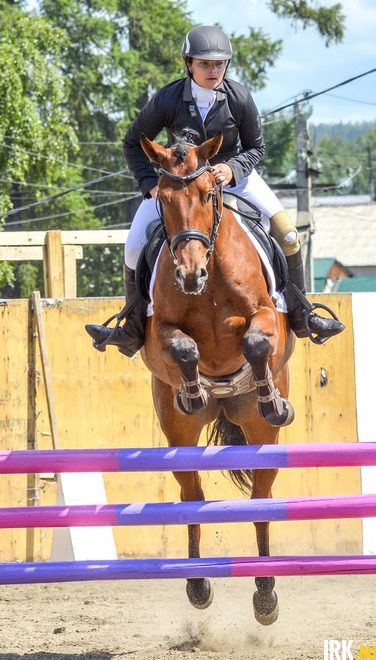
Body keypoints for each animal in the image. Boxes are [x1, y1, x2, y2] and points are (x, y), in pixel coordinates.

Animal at [140, 131, 296, 628]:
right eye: (162, 198)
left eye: (209, 193)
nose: (190, 274)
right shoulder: (161, 329)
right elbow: (184, 348)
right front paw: (192, 391)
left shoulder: (266, 315)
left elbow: (257, 342)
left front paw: (271, 398)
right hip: (179, 438)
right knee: (192, 493)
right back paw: (197, 584)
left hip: (261, 436)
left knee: (262, 499)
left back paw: (265, 595)